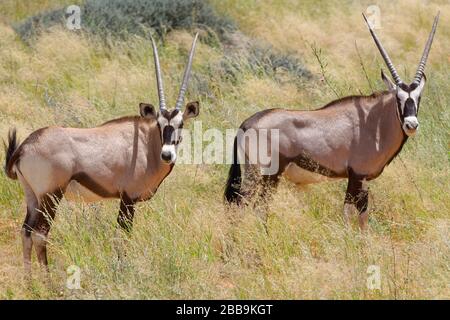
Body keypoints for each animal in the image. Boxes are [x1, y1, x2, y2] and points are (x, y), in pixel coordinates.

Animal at [3, 33, 200, 272]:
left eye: (180, 123)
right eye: (159, 123)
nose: (167, 155)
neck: (147, 144)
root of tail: (24, 146)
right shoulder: (128, 198)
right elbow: (122, 235)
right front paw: (122, 269)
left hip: (32, 196)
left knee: (26, 231)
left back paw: (29, 278)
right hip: (51, 195)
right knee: (40, 234)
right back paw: (47, 278)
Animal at [225, 15, 440, 230]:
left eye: (418, 98)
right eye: (398, 98)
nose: (411, 125)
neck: (374, 122)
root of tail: (247, 124)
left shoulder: (363, 180)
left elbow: (360, 216)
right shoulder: (356, 176)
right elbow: (351, 214)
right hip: (263, 174)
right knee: (247, 205)